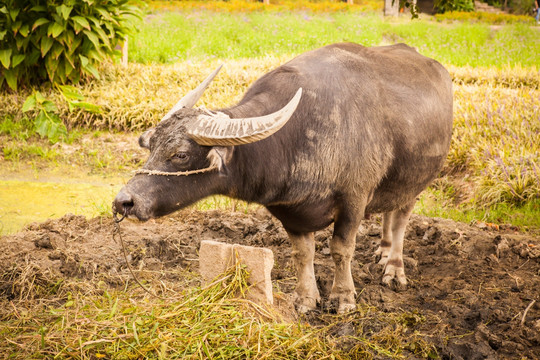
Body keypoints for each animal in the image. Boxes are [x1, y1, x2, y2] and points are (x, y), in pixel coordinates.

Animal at [113, 41, 452, 312]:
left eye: (181, 154)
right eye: (151, 145)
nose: (124, 201)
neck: (297, 135)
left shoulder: (354, 200)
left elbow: (341, 250)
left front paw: (343, 298)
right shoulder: (290, 212)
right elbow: (303, 254)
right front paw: (305, 300)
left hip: (417, 181)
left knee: (401, 219)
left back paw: (394, 269)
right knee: (389, 213)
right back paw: (382, 252)